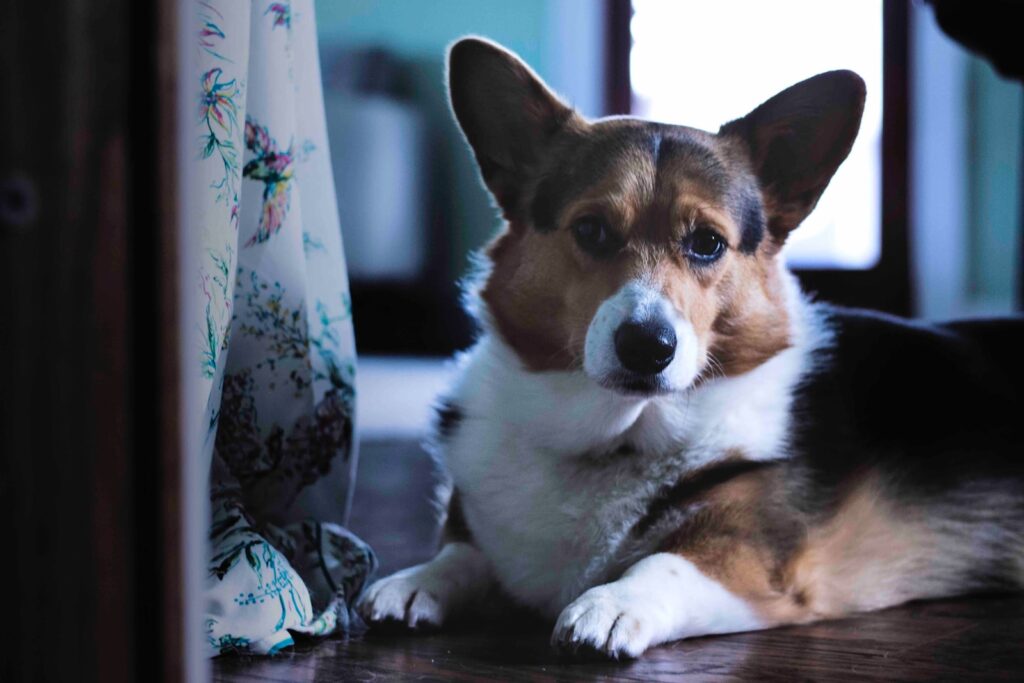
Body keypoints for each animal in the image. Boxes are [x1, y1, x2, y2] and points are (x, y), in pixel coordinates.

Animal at [354, 38, 1024, 663]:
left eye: (707, 243)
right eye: (591, 230)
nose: (647, 346)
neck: (617, 439)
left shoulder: (750, 561)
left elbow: (663, 562)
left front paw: (609, 603)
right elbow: (462, 550)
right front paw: (416, 580)